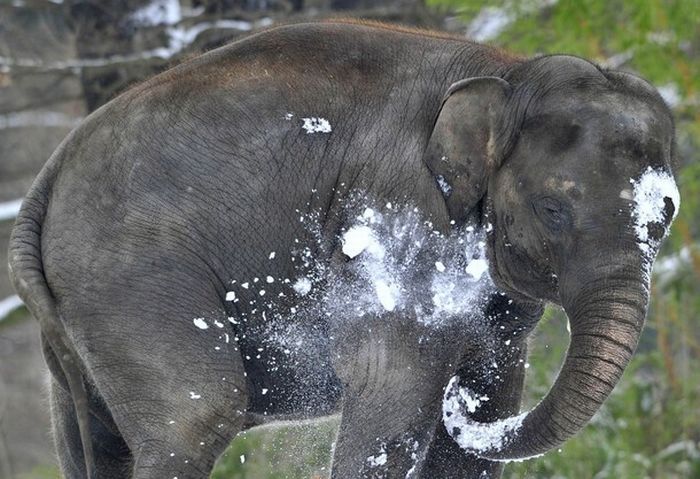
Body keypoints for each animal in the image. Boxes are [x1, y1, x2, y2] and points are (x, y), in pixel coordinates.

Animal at [9, 20, 680, 479]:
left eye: (666, 218)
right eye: (553, 210)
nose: (457, 399)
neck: (510, 75)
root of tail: (43, 183)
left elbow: (489, 402)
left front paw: (471, 391)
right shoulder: (398, 214)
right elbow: (393, 394)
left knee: (97, 441)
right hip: (132, 278)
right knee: (196, 416)